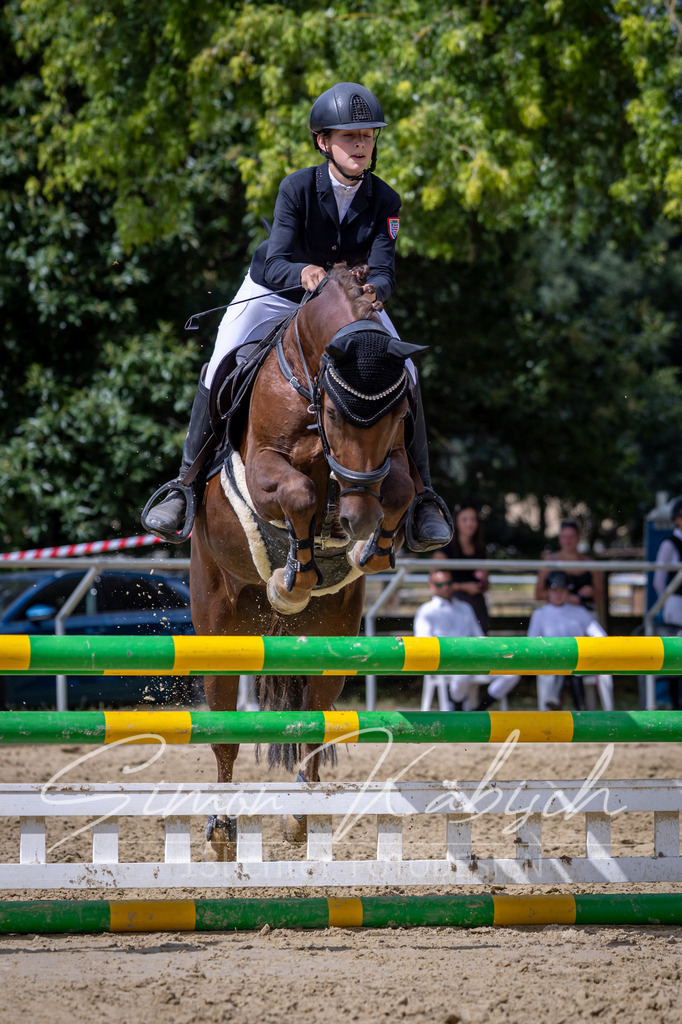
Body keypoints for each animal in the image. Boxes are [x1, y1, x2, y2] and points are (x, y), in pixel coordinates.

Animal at [190, 263, 421, 860]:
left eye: (401, 413)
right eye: (336, 412)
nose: (359, 519)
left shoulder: (394, 464)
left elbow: (401, 487)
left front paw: (366, 546)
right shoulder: (265, 466)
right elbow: (297, 493)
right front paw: (294, 574)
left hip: (332, 639)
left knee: (313, 724)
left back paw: (300, 815)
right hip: (219, 626)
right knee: (223, 733)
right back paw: (221, 830)